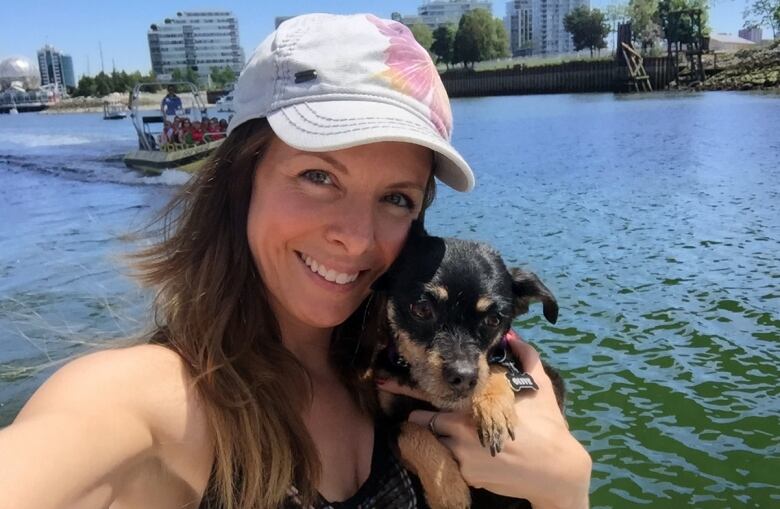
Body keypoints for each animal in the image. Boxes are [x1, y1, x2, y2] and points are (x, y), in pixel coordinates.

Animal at [370, 221, 560, 508]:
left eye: (494, 320)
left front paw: (493, 407)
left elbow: (497, 366)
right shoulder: (385, 426)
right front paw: (449, 492)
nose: (463, 377)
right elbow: (412, 432)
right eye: (422, 309)